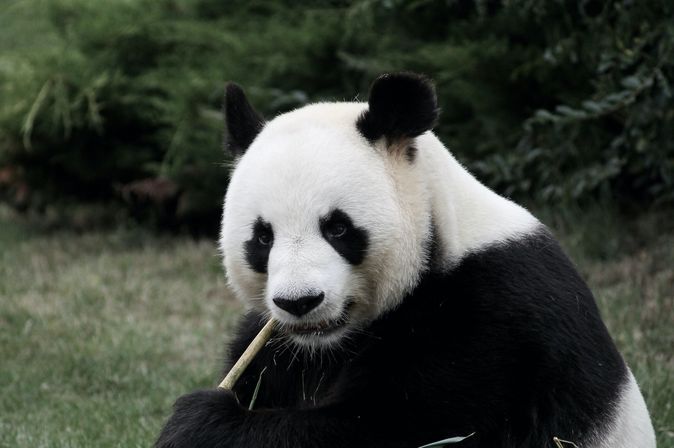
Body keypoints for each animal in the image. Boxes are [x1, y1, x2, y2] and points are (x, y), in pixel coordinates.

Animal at [155, 73, 656, 448]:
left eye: (338, 228)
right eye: (262, 238)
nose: (300, 302)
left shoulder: (491, 320)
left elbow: (402, 428)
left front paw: (200, 423)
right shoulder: (278, 345)